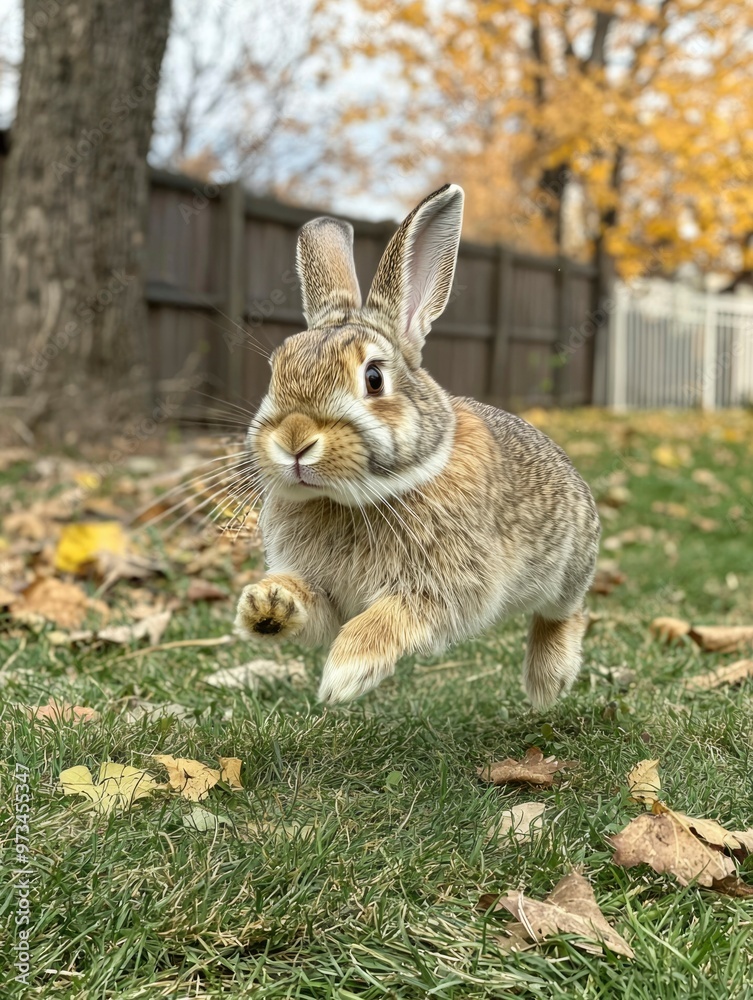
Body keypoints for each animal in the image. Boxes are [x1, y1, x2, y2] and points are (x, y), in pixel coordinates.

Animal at [234, 183, 601, 708]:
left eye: (373, 378)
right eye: (275, 370)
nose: (294, 440)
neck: (354, 500)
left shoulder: (445, 588)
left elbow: (393, 616)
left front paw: (347, 672)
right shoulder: (328, 593)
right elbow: (315, 607)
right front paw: (267, 605)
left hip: (567, 568)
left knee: (567, 612)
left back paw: (548, 683)